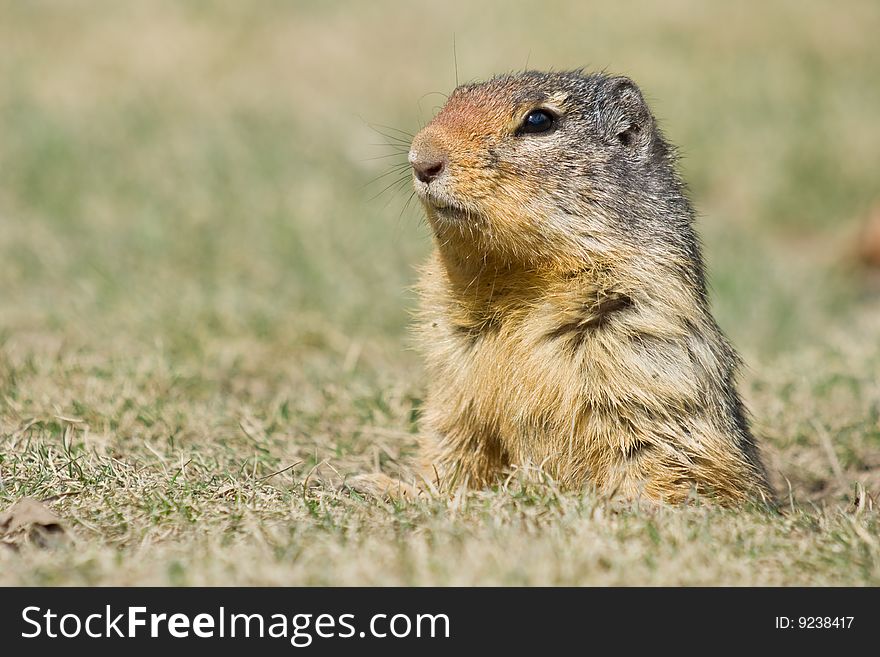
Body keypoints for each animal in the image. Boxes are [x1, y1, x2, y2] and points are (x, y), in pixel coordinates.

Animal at [348, 70, 768, 502]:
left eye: (539, 120)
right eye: (454, 97)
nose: (421, 158)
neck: (515, 281)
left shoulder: (647, 356)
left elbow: (663, 457)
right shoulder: (452, 374)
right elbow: (453, 441)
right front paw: (385, 484)